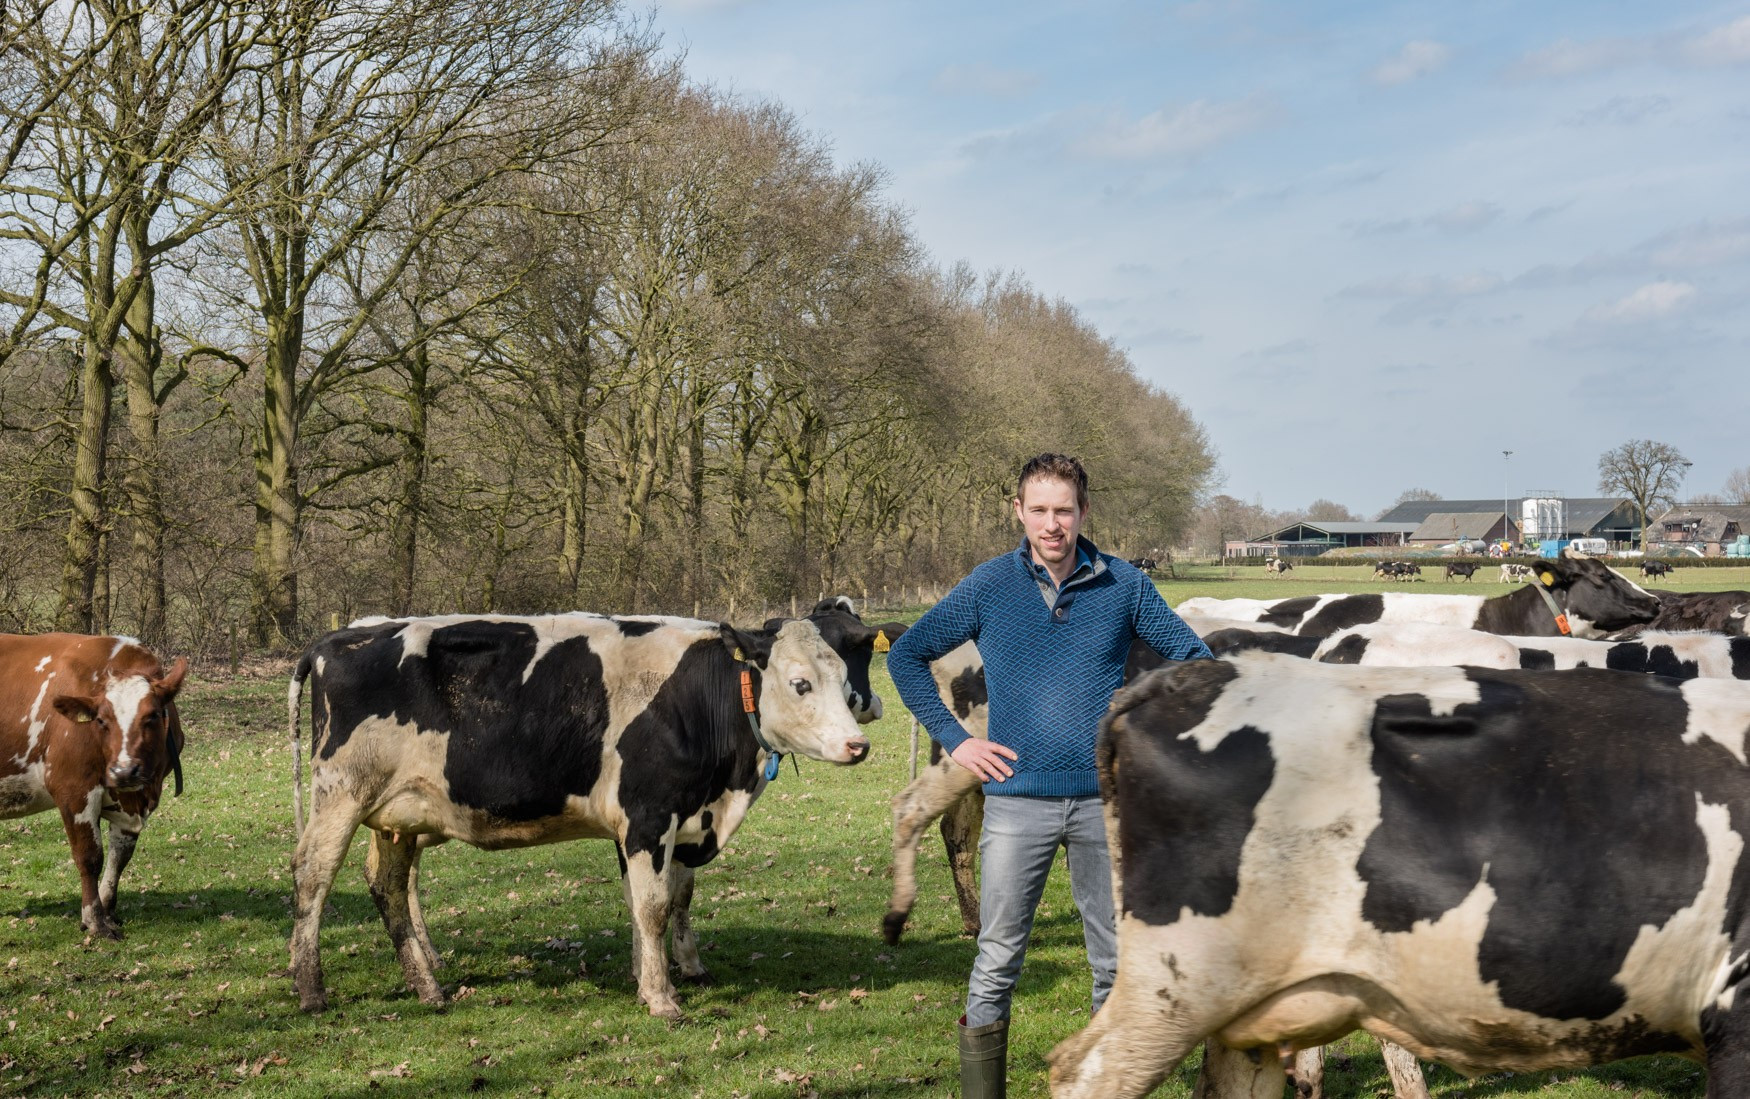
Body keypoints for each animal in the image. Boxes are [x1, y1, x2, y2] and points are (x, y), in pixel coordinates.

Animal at [0, 637, 187, 938]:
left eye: (152, 716)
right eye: (101, 720)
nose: (124, 771)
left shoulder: (129, 805)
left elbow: (119, 857)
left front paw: (108, 911)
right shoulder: (74, 790)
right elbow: (90, 858)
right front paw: (95, 921)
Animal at [285, 612, 875, 1015]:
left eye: (846, 683)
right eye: (800, 684)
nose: (858, 745)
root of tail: (336, 639)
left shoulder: (670, 822)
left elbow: (657, 901)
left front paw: (652, 975)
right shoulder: (648, 815)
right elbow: (655, 906)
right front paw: (662, 998)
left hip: (396, 817)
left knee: (388, 885)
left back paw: (427, 987)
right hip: (341, 795)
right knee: (313, 875)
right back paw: (312, 990)